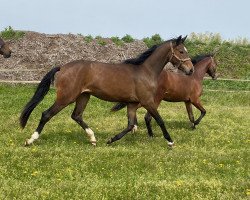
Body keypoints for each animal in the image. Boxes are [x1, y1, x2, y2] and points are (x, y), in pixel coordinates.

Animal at [20, 35, 194, 147]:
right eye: (181, 51)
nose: (191, 70)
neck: (145, 71)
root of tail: (62, 67)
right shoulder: (147, 102)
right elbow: (159, 120)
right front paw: (170, 141)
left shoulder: (132, 104)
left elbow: (130, 125)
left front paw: (111, 140)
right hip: (66, 97)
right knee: (46, 114)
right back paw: (30, 140)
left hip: (83, 96)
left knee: (76, 116)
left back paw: (93, 139)